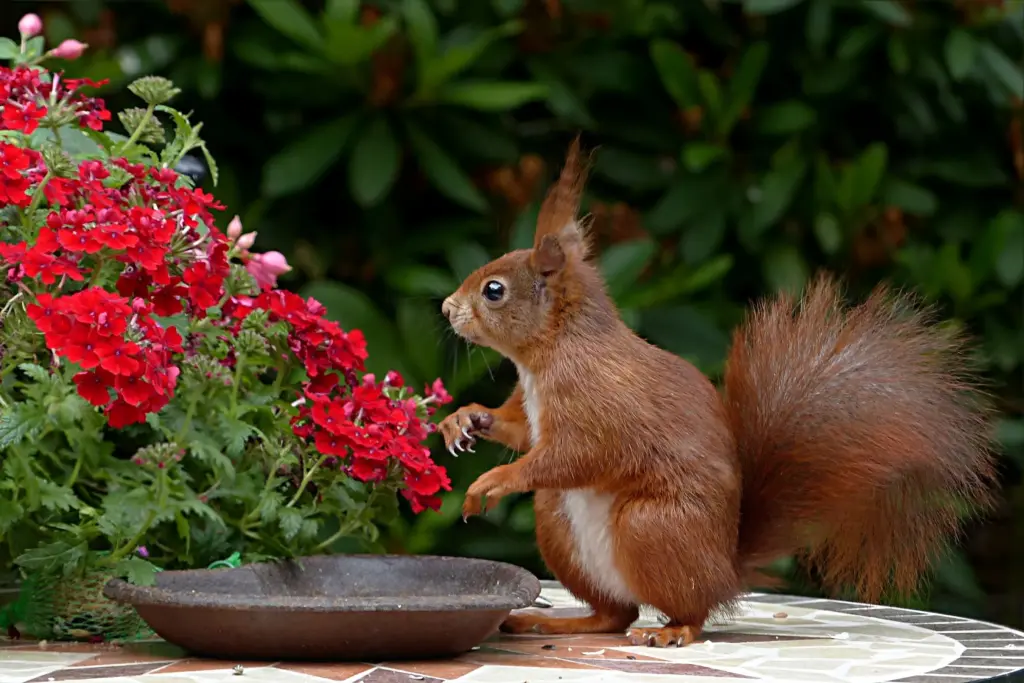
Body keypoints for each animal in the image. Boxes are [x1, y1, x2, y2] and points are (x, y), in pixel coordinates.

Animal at [438, 138, 998, 648]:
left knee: (688, 609)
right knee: (614, 614)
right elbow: (520, 431)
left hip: (651, 527)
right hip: (558, 523)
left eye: (494, 290)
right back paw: (556, 622)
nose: (445, 308)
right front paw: (464, 419)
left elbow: (577, 454)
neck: (550, 353)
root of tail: (726, 570)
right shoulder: (533, 408)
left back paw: (672, 629)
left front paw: (495, 480)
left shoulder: (599, 401)